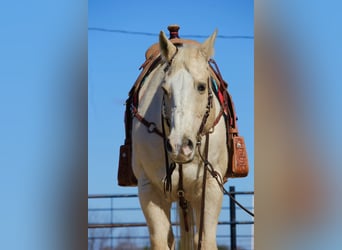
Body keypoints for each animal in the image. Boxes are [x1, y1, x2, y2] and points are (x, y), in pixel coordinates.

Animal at [132, 30, 230, 249]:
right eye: (165, 90)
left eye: (201, 87)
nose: (179, 146)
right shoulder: (149, 190)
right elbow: (161, 241)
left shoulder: (211, 187)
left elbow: (205, 240)